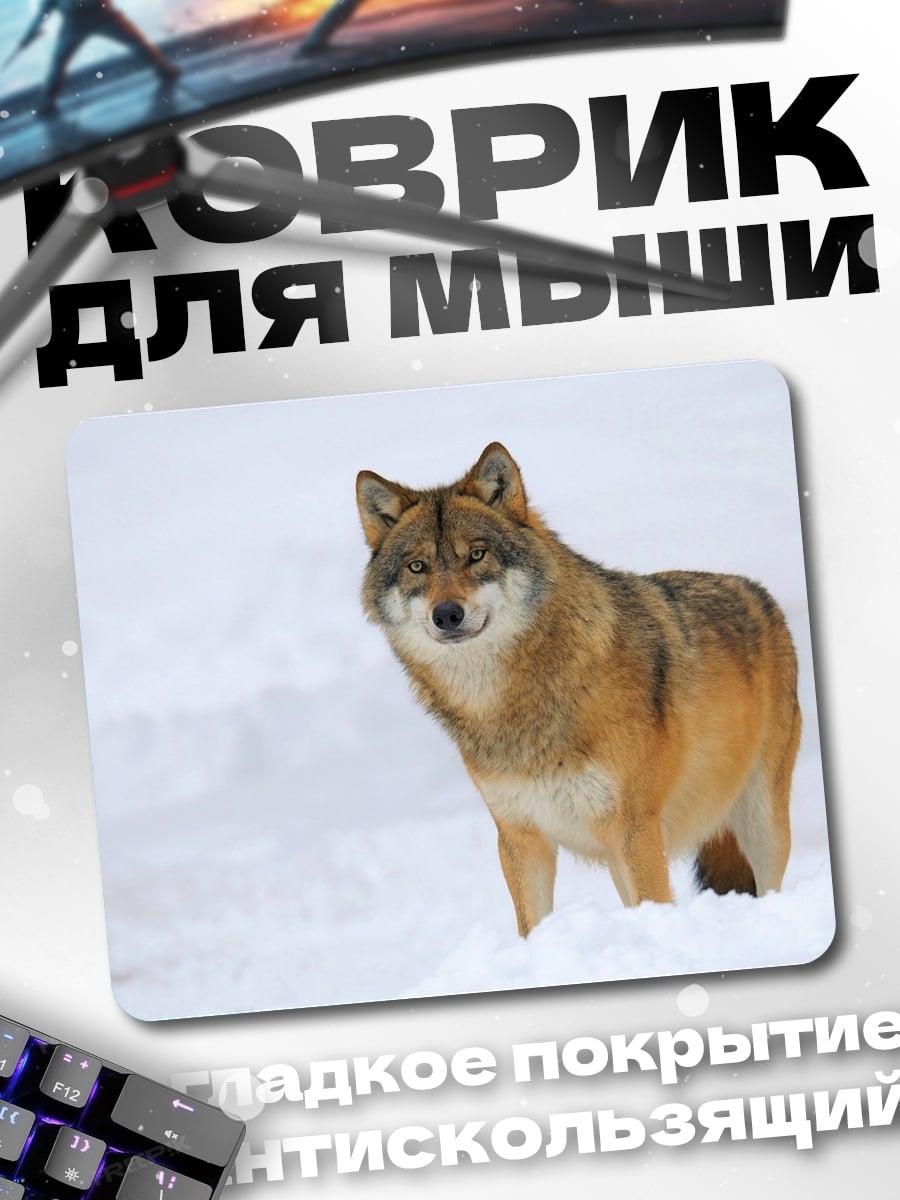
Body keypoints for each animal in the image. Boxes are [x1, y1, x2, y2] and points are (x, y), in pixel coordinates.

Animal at [355, 442, 801, 937]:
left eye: (477, 555)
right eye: (417, 566)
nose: (447, 614)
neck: (511, 704)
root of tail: (759, 592)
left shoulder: (636, 829)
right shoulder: (519, 839)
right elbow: (531, 926)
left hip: (762, 825)